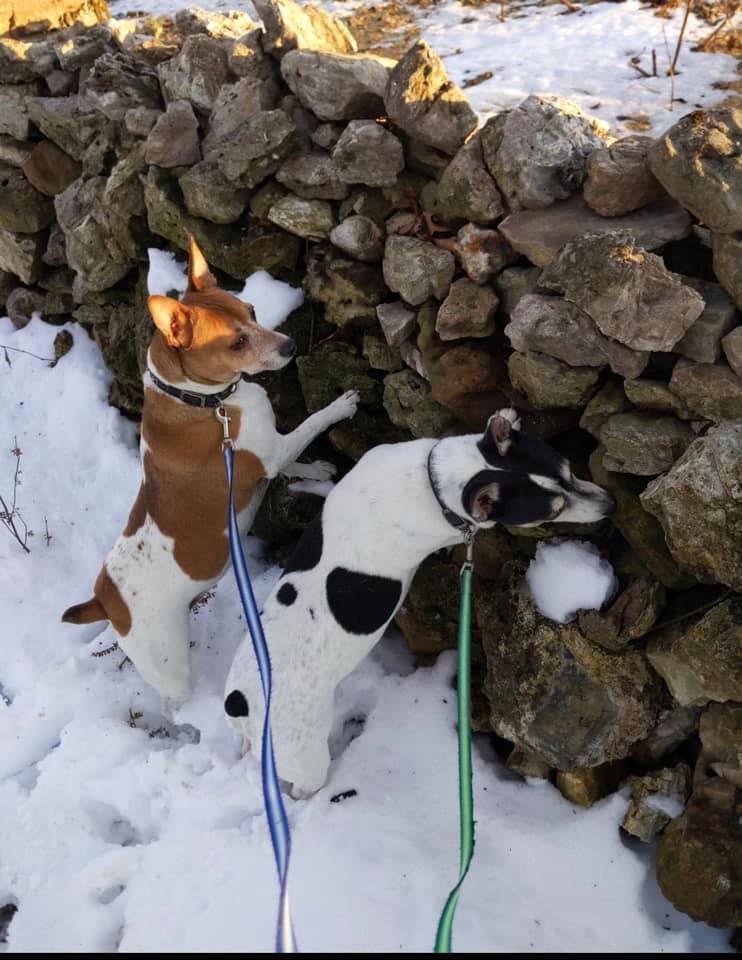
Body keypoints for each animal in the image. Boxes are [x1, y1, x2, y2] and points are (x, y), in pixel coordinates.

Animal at [63, 238, 359, 705]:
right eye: (236, 342)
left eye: (253, 311)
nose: (290, 344)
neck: (200, 402)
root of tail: (105, 600)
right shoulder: (270, 450)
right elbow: (310, 426)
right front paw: (340, 407)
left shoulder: (272, 453)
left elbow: (296, 463)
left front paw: (317, 470)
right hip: (169, 666)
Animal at [223, 408, 616, 797]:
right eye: (552, 511)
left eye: (569, 469)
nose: (611, 505)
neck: (435, 483)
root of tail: (242, 704)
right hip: (305, 757)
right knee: (303, 785)